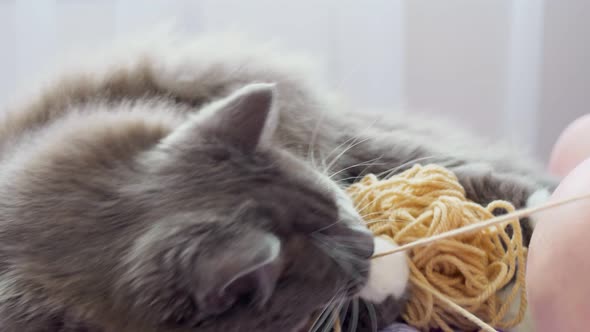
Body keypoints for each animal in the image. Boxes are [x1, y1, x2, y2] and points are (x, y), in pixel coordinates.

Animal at [0, 31, 556, 332]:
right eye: (333, 264)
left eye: (336, 208)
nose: (367, 240)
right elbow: (366, 306)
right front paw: (395, 265)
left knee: (441, 162)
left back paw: (545, 196)